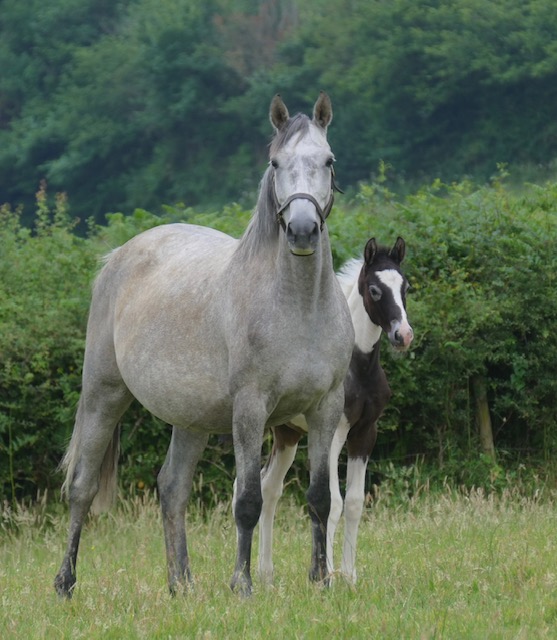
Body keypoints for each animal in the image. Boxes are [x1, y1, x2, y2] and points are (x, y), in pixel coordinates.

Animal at [54, 92, 354, 598]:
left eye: (329, 160)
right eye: (276, 162)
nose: (301, 230)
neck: (298, 308)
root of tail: (117, 256)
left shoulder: (324, 408)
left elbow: (320, 498)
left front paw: (321, 581)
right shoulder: (251, 410)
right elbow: (248, 499)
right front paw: (243, 584)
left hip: (188, 419)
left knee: (172, 487)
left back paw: (182, 585)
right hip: (103, 394)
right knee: (82, 488)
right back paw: (65, 583)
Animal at [255, 237, 413, 585]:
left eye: (406, 287)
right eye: (374, 290)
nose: (403, 335)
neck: (359, 368)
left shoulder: (365, 433)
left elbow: (353, 501)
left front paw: (349, 575)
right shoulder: (333, 433)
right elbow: (332, 501)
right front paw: (325, 573)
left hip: (287, 435)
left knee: (269, 487)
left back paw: (265, 573)